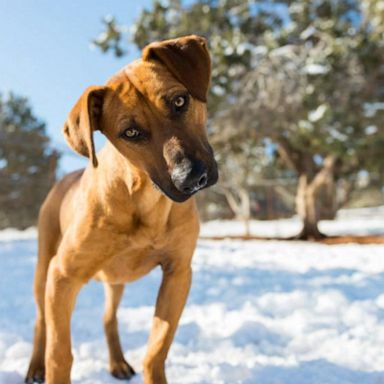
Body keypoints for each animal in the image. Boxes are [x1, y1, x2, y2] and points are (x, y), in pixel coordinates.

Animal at [25, 36, 218, 384]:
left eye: (179, 101)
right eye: (131, 133)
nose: (191, 178)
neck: (144, 199)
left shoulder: (178, 272)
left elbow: (156, 350)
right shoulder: (62, 276)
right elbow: (59, 352)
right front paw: (51, 367)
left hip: (115, 280)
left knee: (108, 317)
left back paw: (117, 362)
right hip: (43, 267)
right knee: (41, 321)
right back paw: (34, 366)